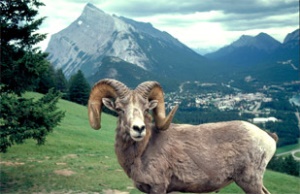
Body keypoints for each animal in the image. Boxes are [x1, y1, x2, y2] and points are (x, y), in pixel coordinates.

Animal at [88, 79, 278, 194]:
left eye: (146, 108)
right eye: (119, 109)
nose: (139, 128)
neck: (142, 152)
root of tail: (268, 138)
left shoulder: (158, 187)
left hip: (250, 183)